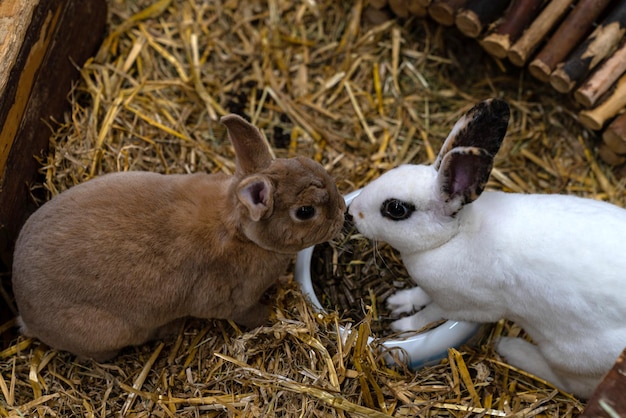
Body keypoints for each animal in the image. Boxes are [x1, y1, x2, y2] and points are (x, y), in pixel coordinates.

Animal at [12, 113, 346, 360]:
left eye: (307, 162)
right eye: (305, 211)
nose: (343, 210)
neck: (241, 231)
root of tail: (26, 314)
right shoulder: (233, 302)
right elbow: (250, 314)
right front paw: (270, 314)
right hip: (108, 332)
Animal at [348, 98, 624, 398]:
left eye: (396, 209)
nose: (352, 212)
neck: (455, 235)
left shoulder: (458, 305)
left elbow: (426, 316)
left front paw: (400, 327)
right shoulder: (433, 289)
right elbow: (419, 294)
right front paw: (398, 302)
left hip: (571, 355)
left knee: (572, 384)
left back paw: (510, 347)